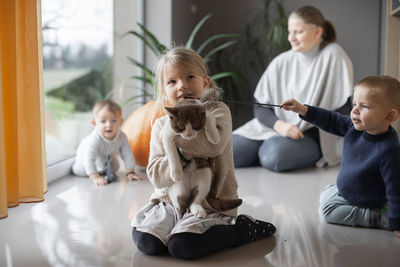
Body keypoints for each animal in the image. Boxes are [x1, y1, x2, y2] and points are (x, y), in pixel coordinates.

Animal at [151, 89, 241, 219]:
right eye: (181, 126)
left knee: (195, 198)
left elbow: (210, 120)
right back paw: (180, 212)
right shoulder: (168, 131)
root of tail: (189, 186)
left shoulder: (206, 113)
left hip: (204, 175)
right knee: (181, 203)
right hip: (178, 188)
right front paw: (176, 173)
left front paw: (214, 137)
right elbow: (171, 150)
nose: (188, 134)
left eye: (195, 125)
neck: (186, 102)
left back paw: (198, 210)